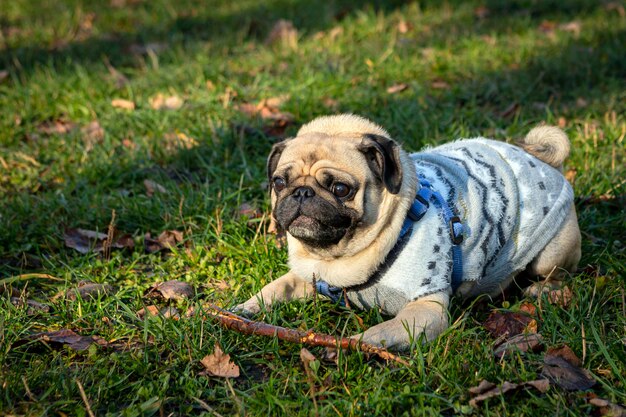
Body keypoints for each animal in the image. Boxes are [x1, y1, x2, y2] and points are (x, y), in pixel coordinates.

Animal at [235, 113, 580, 348]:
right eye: (280, 182)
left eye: (341, 189)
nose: (302, 193)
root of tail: (539, 157)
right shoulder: (307, 275)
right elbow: (276, 288)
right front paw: (242, 309)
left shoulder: (425, 309)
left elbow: (378, 333)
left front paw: (352, 344)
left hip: (550, 254)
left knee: (558, 273)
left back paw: (542, 290)